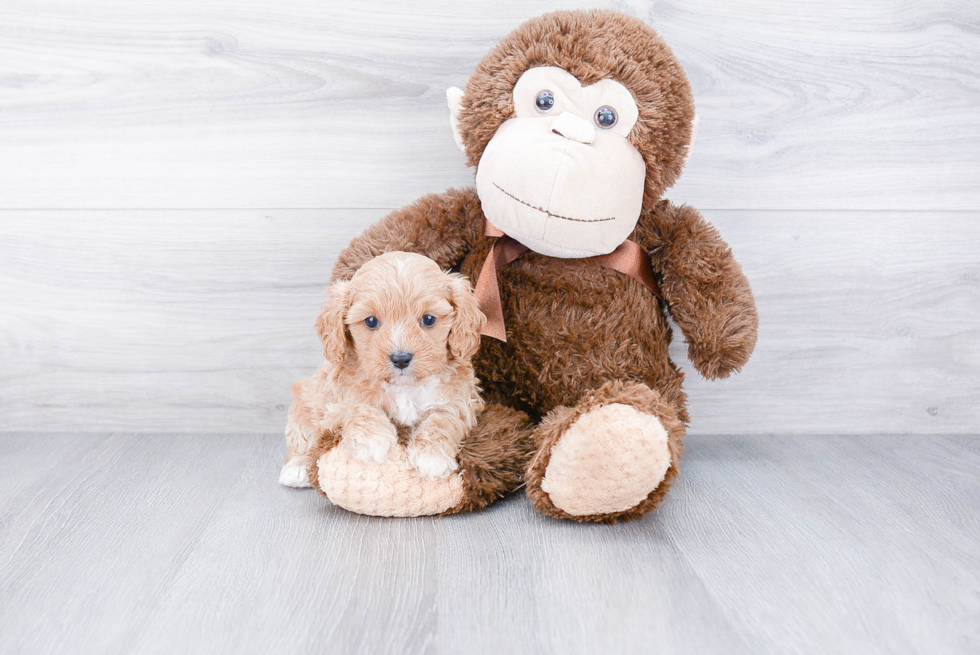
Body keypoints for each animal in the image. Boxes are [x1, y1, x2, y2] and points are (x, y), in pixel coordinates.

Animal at [280, 254, 486, 490]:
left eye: (428, 319)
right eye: (371, 321)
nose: (401, 359)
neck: (404, 387)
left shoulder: (460, 402)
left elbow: (442, 421)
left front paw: (432, 457)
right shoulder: (332, 403)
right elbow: (357, 408)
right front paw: (373, 439)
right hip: (303, 405)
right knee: (302, 439)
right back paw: (296, 468)